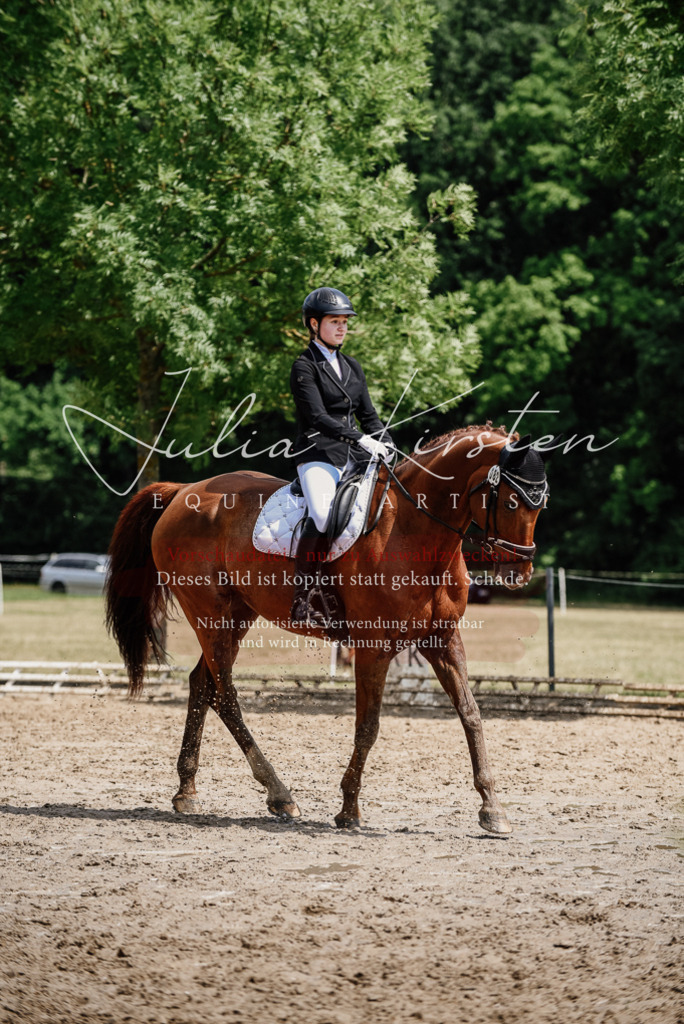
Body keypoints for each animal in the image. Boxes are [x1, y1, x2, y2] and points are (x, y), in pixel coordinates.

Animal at [105, 424, 550, 834]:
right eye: (511, 500)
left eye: (541, 503)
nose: (520, 573)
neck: (414, 531)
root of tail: (184, 492)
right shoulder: (373, 647)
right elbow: (368, 726)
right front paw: (349, 810)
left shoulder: (443, 641)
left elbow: (471, 715)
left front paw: (492, 809)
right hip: (210, 613)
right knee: (225, 694)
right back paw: (280, 795)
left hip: (236, 615)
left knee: (203, 684)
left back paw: (187, 791)